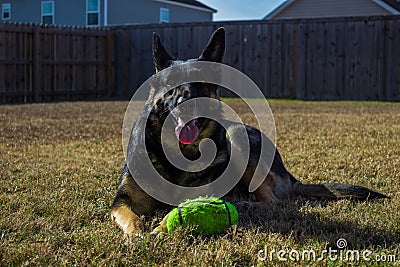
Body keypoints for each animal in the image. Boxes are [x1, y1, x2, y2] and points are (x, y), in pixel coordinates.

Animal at [110, 26, 388, 237]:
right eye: (171, 84)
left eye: (201, 82)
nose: (185, 103)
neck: (178, 155)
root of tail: (288, 173)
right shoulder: (122, 200)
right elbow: (128, 215)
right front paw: (138, 234)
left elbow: (176, 211)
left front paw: (161, 227)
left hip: (237, 138)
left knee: (273, 201)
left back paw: (245, 203)